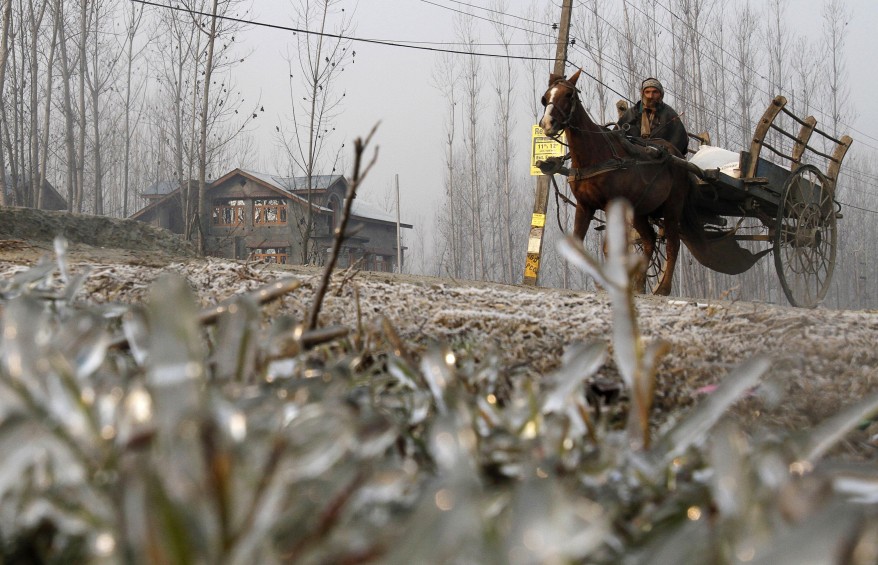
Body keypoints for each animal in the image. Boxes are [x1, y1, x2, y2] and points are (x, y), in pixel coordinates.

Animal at [540, 69, 696, 296]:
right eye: (546, 96)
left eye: (569, 95)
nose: (547, 123)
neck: (593, 153)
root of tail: (676, 154)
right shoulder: (584, 205)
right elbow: (578, 245)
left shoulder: (611, 205)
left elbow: (608, 248)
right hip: (640, 211)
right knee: (649, 240)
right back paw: (639, 283)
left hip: (672, 207)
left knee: (672, 243)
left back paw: (664, 288)